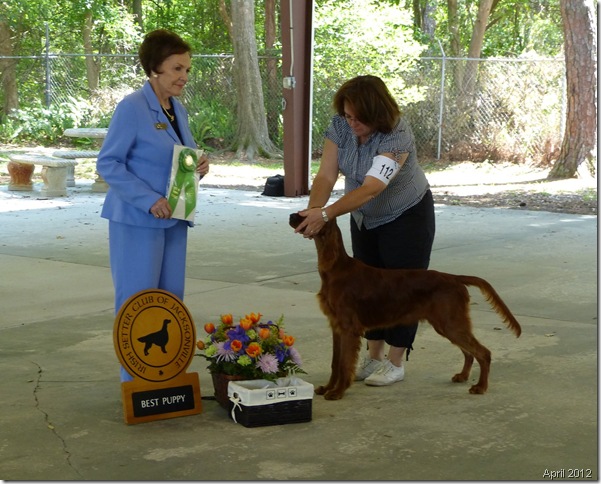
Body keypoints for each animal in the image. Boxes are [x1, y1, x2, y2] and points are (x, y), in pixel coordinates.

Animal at [288, 214, 516, 398]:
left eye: (306, 214)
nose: (291, 215)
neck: (336, 268)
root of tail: (454, 278)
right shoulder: (336, 327)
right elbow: (335, 363)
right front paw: (328, 388)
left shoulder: (348, 328)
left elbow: (344, 364)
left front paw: (337, 392)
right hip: (447, 324)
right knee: (469, 352)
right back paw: (462, 376)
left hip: (451, 323)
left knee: (483, 353)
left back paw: (480, 387)